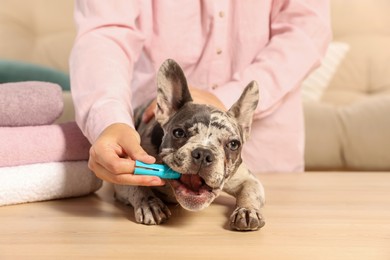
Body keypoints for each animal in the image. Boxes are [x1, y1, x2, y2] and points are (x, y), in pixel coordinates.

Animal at [113, 59, 266, 232]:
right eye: (178, 133)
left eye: (233, 144)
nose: (204, 154)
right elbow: (136, 185)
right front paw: (149, 203)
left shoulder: (248, 180)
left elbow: (250, 193)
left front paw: (247, 210)